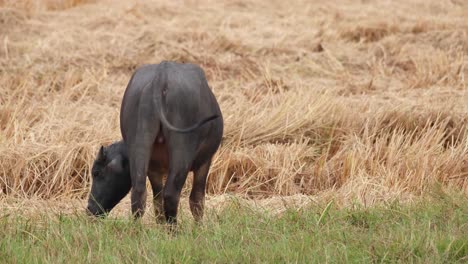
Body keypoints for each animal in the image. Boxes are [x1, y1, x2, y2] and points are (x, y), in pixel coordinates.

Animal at [88, 60, 227, 224]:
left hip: (140, 140)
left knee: (140, 192)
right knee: (171, 194)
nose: (90, 208)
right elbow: (197, 199)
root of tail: (160, 78)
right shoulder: (204, 162)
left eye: (96, 173)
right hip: (182, 149)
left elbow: (157, 201)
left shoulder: (155, 169)